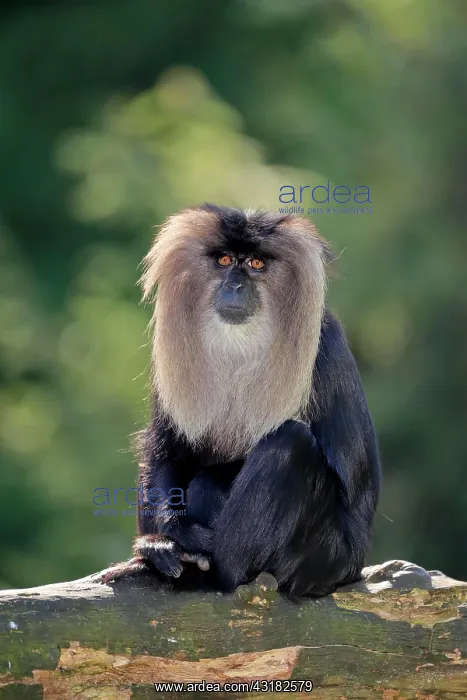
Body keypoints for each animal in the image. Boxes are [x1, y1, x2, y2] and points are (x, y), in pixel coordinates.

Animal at [103, 204, 381, 598]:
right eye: (224, 260)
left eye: (255, 264)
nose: (235, 285)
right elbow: (165, 447)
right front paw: (165, 539)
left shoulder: (325, 344)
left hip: (324, 560)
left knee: (290, 444)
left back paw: (203, 570)